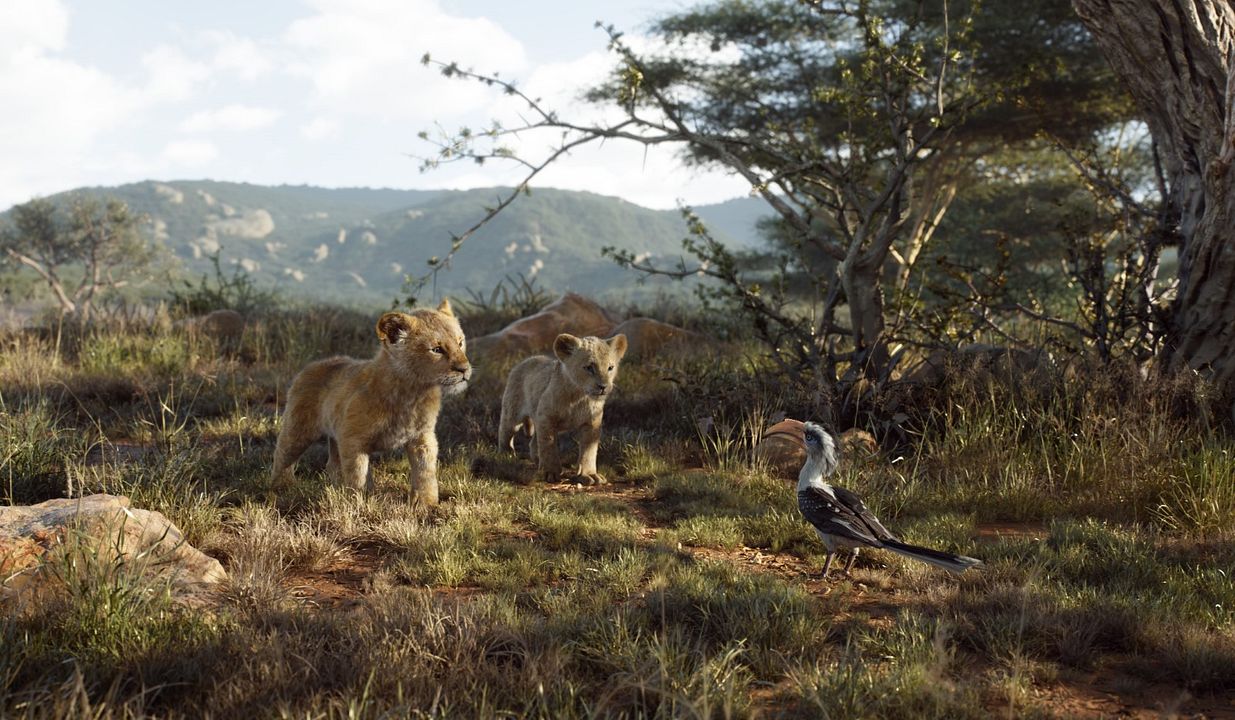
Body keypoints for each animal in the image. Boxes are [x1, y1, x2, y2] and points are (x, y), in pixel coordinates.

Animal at [270, 299, 471, 504]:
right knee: (282, 456)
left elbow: (425, 473)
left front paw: (426, 504)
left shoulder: (423, 437)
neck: (413, 394)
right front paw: (356, 502)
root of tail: (312, 365)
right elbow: (357, 475)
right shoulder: (353, 440)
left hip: (334, 434)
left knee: (332, 465)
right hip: (298, 430)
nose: (464, 369)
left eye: (460, 342)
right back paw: (280, 487)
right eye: (437, 350)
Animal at [498, 333, 627, 485]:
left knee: (533, 443)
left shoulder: (592, 422)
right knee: (506, 430)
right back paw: (506, 454)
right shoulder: (546, 417)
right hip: (513, 411)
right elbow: (548, 445)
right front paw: (550, 473)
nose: (603, 387)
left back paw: (537, 460)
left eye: (610, 367)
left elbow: (589, 450)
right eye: (589, 367)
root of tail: (527, 359)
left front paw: (589, 474)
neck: (579, 397)